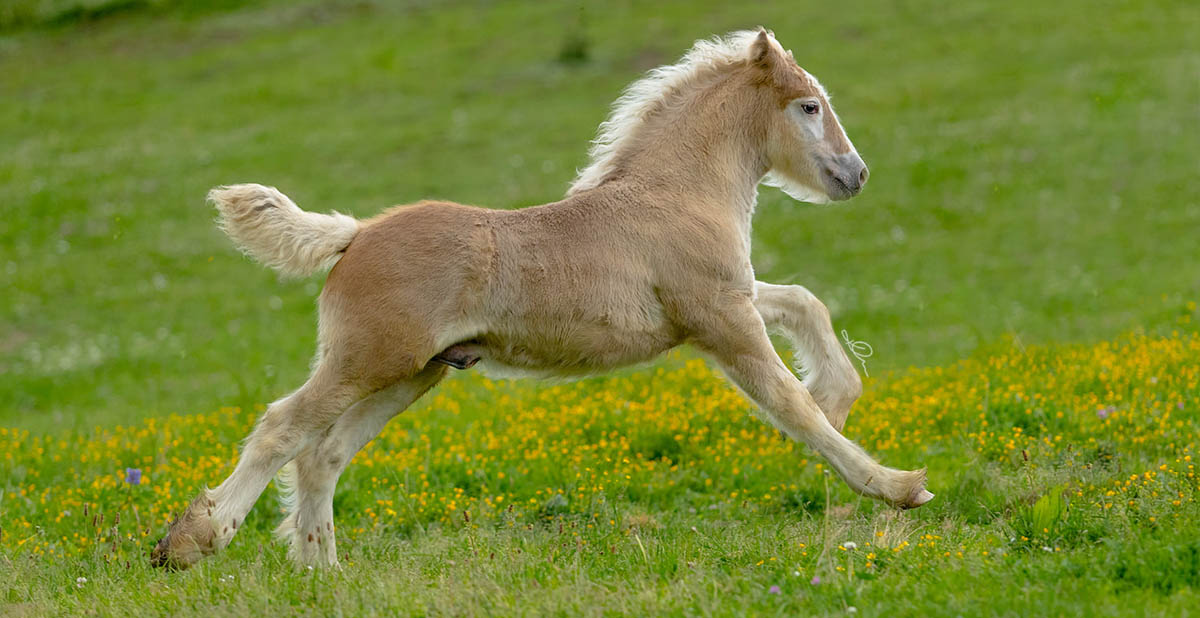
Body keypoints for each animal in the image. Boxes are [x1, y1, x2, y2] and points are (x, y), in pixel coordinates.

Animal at [152, 29, 936, 571]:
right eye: (808, 105)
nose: (856, 174)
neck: (674, 193)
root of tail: (354, 234)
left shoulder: (724, 301)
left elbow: (805, 303)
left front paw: (841, 391)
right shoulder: (720, 321)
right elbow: (791, 407)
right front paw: (898, 487)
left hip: (416, 372)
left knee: (324, 454)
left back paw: (324, 573)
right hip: (369, 359)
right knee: (282, 428)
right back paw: (191, 541)